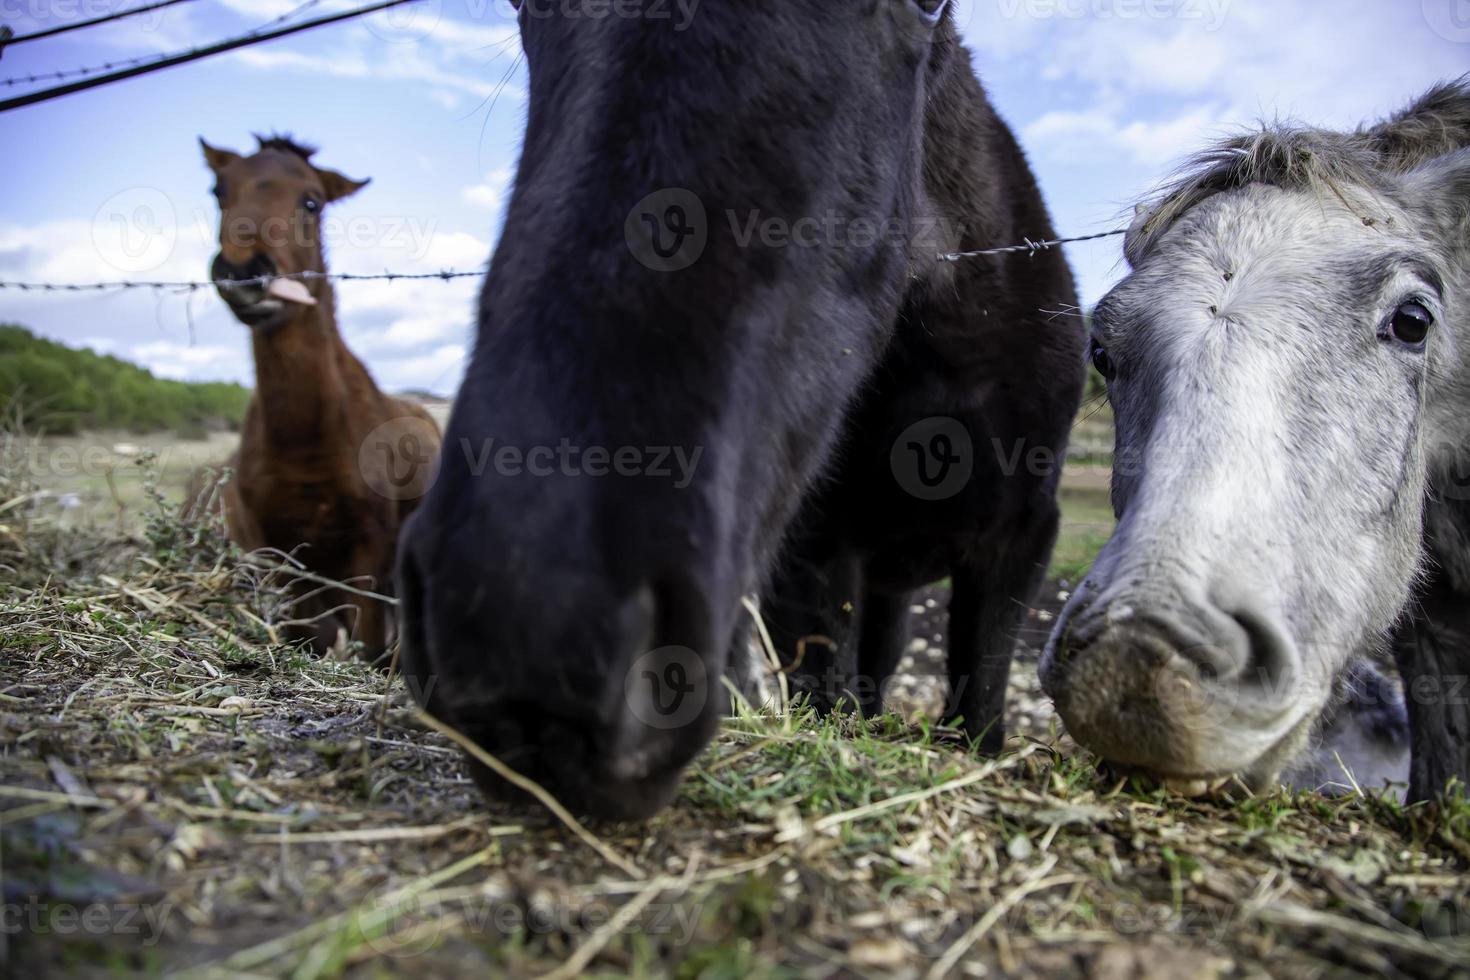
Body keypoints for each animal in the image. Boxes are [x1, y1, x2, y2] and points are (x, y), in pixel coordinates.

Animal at [194, 134, 441, 664]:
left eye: (311, 202)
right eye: (219, 190)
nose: (244, 272)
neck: (305, 442)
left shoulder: (370, 549)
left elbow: (367, 643)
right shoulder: (276, 553)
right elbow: (307, 634)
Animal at [396, 0, 1087, 822]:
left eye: (927, 5)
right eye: (523, 9)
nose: (529, 625)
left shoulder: (1021, 537)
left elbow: (979, 692)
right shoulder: (818, 547)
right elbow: (829, 690)